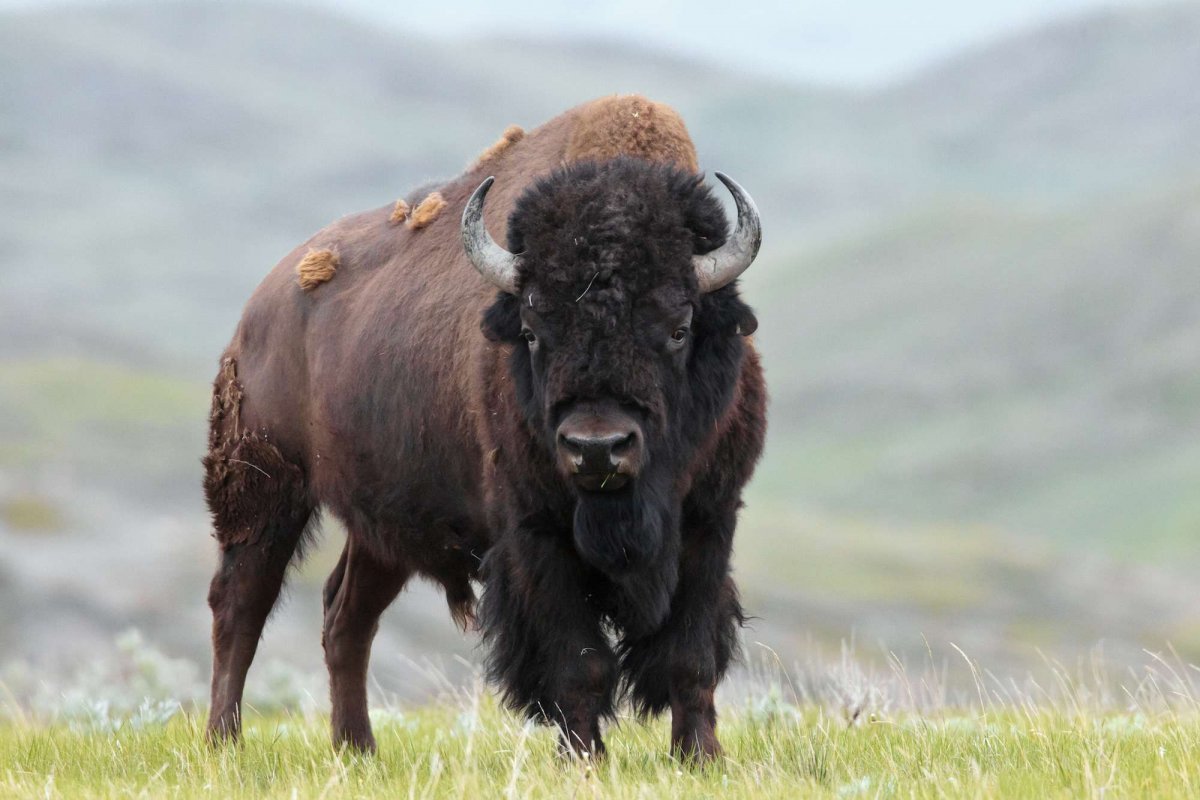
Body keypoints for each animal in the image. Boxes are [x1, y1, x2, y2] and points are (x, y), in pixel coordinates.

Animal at [202, 95, 766, 761]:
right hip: (266, 492)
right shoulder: (534, 535)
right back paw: (224, 742)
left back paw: (357, 748)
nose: (597, 450)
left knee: (346, 619)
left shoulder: (710, 523)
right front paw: (585, 760)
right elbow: (581, 663)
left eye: (679, 328)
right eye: (531, 329)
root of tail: (258, 311)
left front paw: (700, 758)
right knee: (240, 606)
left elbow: (690, 656)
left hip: (381, 528)